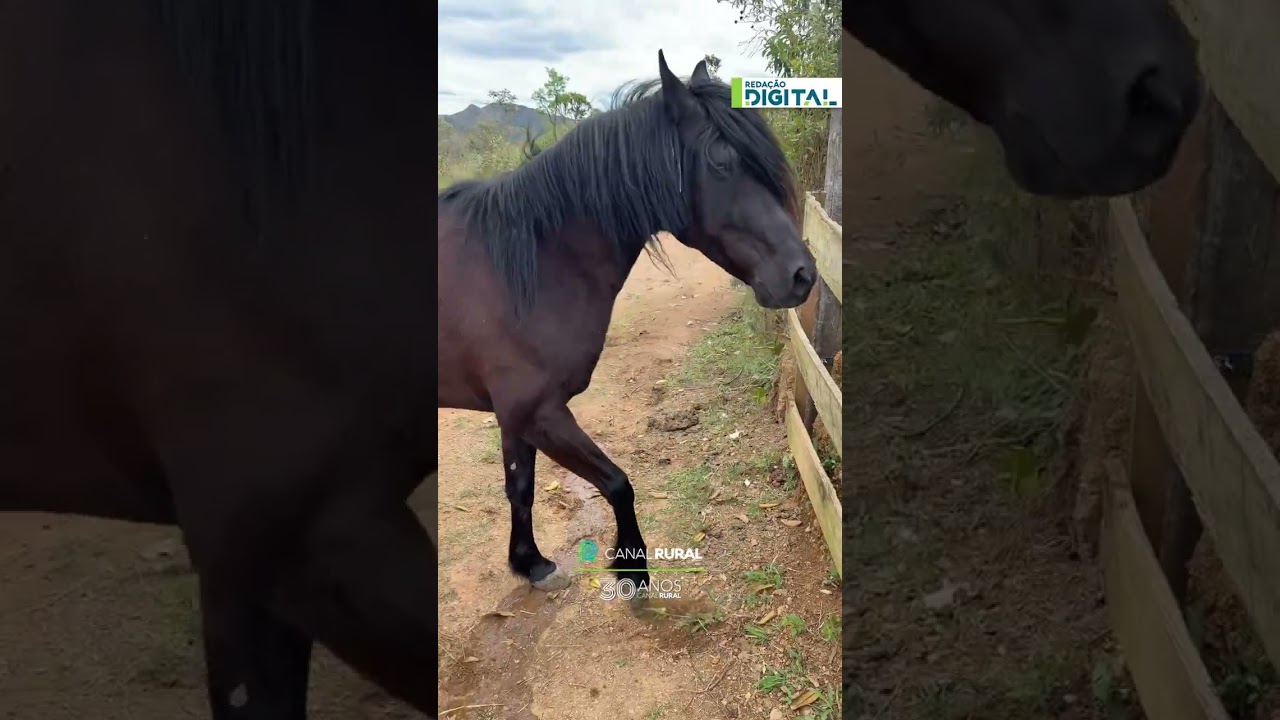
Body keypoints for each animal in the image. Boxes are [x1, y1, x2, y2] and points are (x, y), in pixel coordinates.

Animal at [437, 52, 816, 597]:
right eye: (721, 161)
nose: (802, 275)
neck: (527, 265)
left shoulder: (516, 415)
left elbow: (520, 487)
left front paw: (531, 563)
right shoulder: (538, 412)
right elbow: (617, 482)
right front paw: (633, 571)